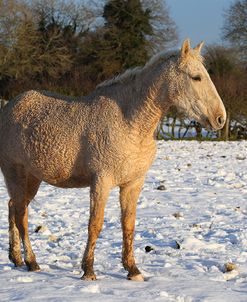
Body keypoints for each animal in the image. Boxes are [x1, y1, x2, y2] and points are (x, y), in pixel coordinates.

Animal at [0, 39, 226, 280]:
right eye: (196, 77)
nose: (220, 118)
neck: (131, 122)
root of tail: (9, 108)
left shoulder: (132, 184)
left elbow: (128, 225)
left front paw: (133, 270)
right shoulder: (101, 182)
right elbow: (95, 224)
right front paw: (88, 270)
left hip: (32, 178)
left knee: (13, 208)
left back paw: (16, 258)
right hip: (16, 173)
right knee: (21, 216)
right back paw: (32, 262)